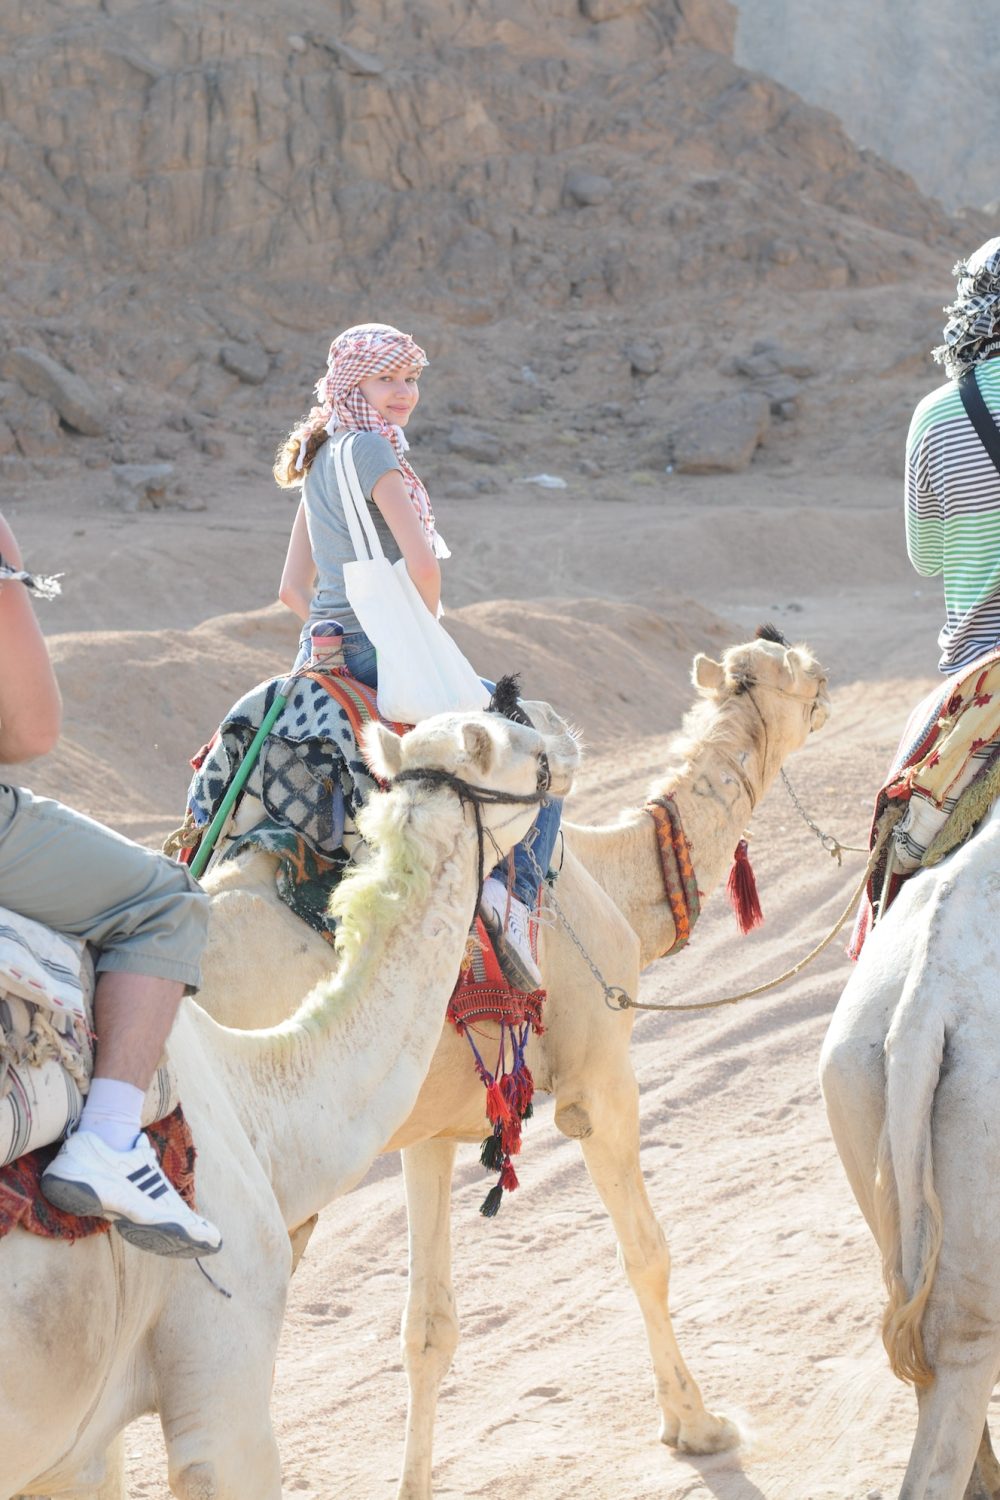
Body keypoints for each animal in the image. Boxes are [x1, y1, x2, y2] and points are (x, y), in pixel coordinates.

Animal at [187, 627, 827, 1494]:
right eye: (789, 674)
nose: (818, 668)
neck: (615, 883)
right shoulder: (600, 1079)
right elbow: (646, 1253)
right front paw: (697, 1426)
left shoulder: (426, 1130)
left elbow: (427, 1326)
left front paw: (413, 1483)